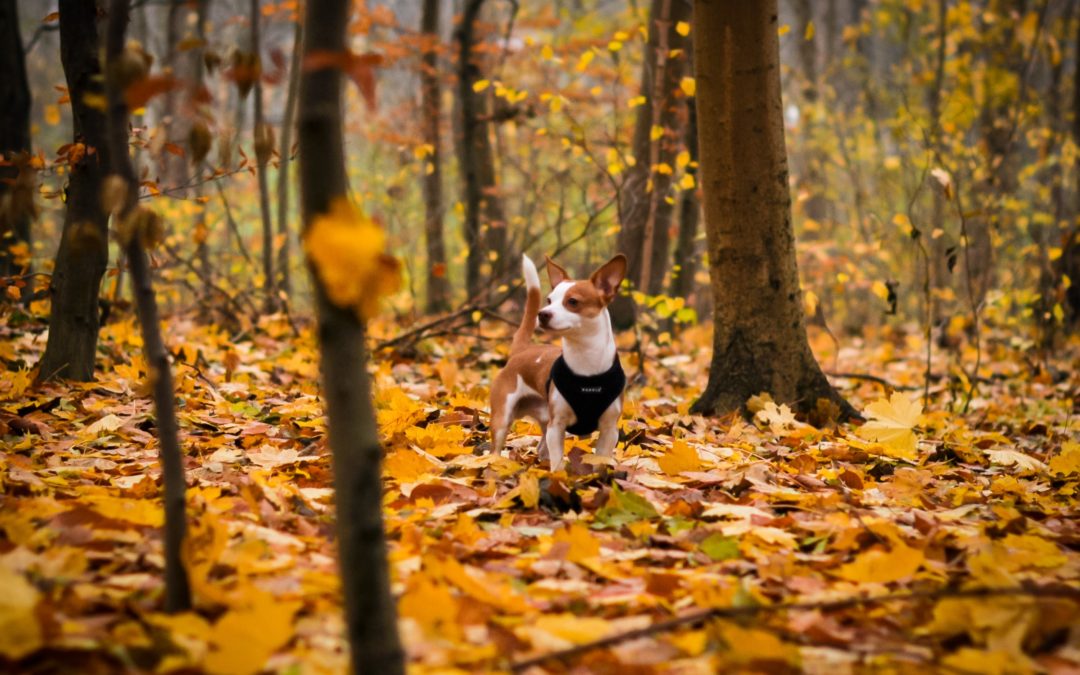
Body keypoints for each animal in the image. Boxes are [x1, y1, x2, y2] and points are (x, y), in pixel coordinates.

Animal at [488, 252, 630, 468]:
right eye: (549, 300)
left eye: (573, 301)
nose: (542, 314)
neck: (586, 366)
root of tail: (522, 350)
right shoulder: (557, 426)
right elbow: (557, 464)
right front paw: (558, 474)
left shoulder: (609, 430)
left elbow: (599, 460)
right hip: (503, 418)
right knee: (495, 448)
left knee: (541, 448)